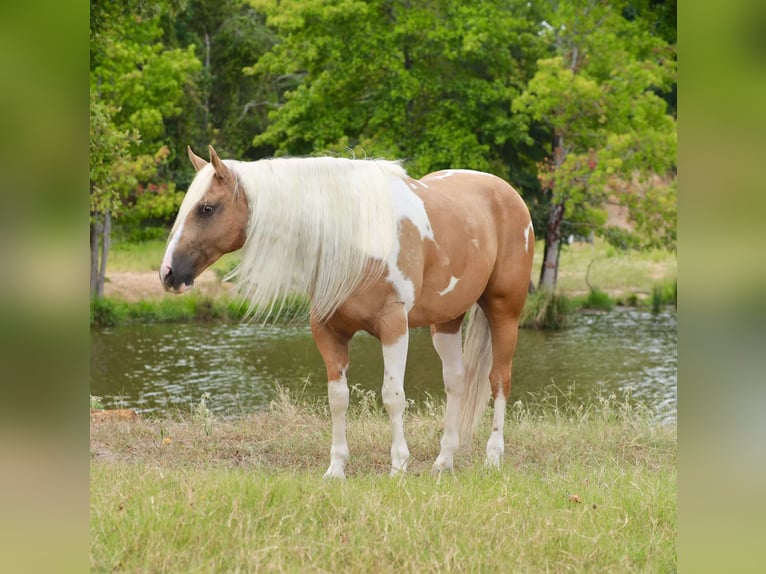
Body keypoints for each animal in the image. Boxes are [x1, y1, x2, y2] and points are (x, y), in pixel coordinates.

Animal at [160, 146, 536, 480]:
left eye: (207, 208)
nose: (168, 273)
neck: (354, 238)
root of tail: (505, 192)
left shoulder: (394, 327)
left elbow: (392, 396)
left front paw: (398, 466)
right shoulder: (328, 331)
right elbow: (338, 399)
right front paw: (336, 468)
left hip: (504, 312)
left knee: (499, 379)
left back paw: (493, 457)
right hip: (446, 320)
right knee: (456, 381)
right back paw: (444, 461)